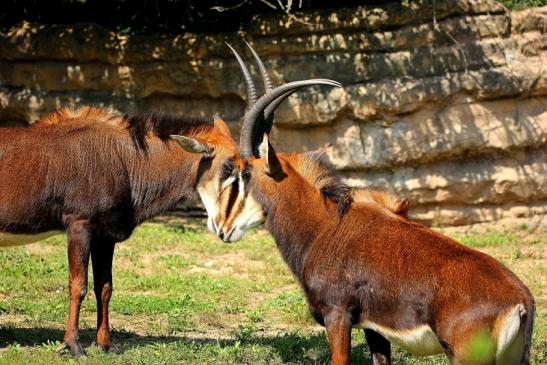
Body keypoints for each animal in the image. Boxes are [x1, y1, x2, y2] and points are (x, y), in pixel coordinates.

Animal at [0, 43, 340, 356]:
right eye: (229, 166)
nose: (224, 228)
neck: (124, 159)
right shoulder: (79, 226)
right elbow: (78, 285)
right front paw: (73, 346)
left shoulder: (104, 235)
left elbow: (104, 287)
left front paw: (106, 344)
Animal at [203, 47, 536, 362]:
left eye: (245, 172)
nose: (222, 229)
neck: (324, 226)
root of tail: (522, 302)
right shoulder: (374, 329)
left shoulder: (337, 316)